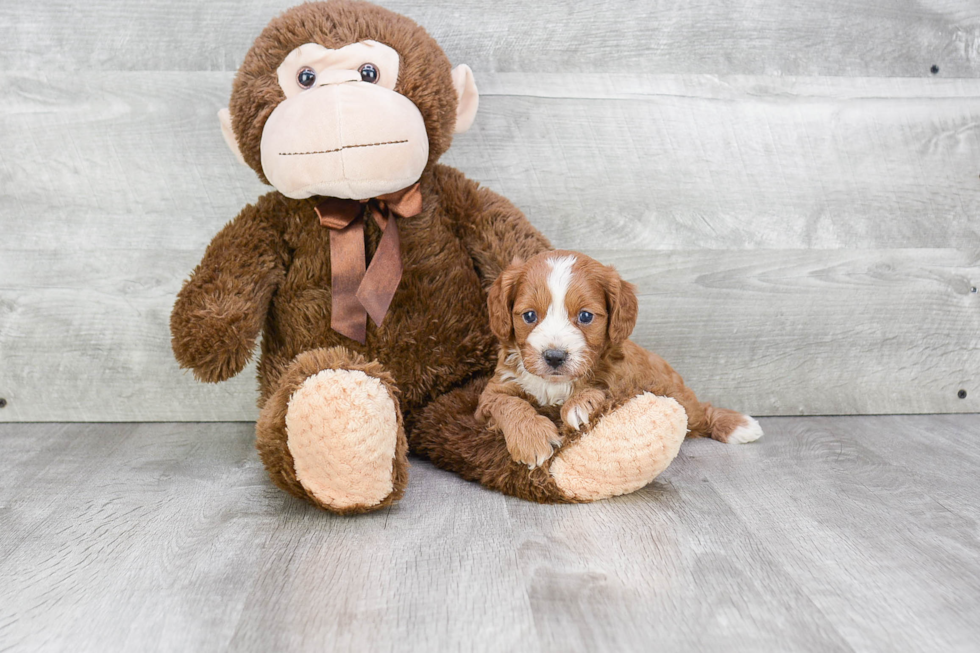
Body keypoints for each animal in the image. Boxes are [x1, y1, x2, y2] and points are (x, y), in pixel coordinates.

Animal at [476, 250, 764, 468]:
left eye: (585, 316)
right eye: (529, 316)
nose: (554, 357)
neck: (554, 384)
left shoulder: (625, 378)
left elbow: (605, 389)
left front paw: (580, 404)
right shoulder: (491, 395)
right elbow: (508, 403)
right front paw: (533, 438)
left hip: (676, 393)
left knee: (701, 412)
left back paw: (738, 425)